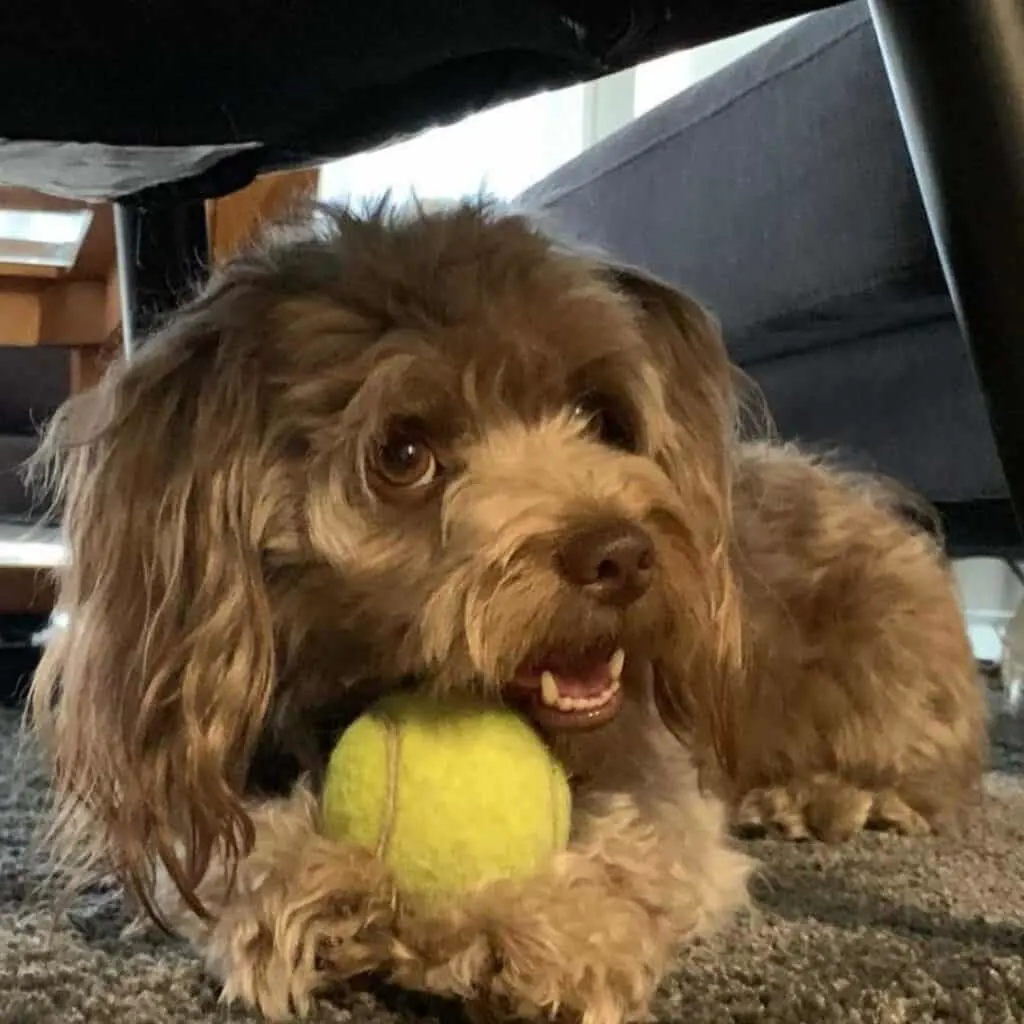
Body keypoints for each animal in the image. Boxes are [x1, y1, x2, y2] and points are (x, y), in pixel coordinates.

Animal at [25, 199, 983, 1024]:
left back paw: (825, 797)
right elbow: (230, 858)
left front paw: (545, 928)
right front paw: (314, 881)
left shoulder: (658, 775)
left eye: (600, 414)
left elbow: (642, 845)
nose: (623, 555)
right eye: (403, 454)